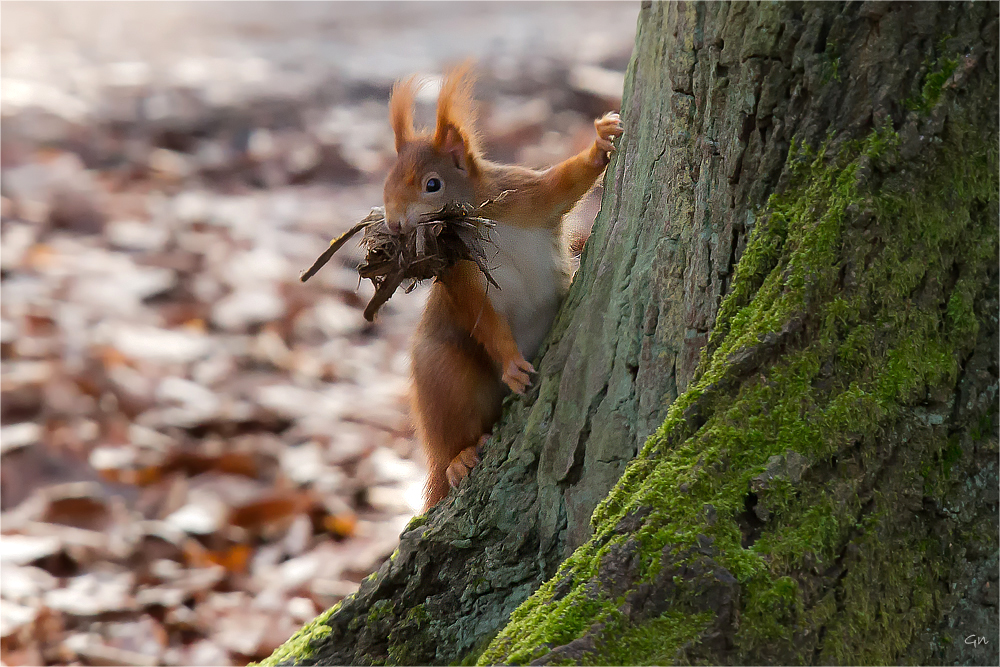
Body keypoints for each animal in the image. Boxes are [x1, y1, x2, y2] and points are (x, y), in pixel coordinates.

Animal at [380, 64, 620, 512]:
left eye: (433, 184)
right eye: (386, 183)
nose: (395, 225)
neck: (480, 221)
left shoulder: (527, 196)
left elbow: (564, 182)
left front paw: (600, 143)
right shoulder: (460, 275)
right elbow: (483, 319)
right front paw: (511, 364)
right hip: (444, 374)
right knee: (450, 435)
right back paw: (458, 459)